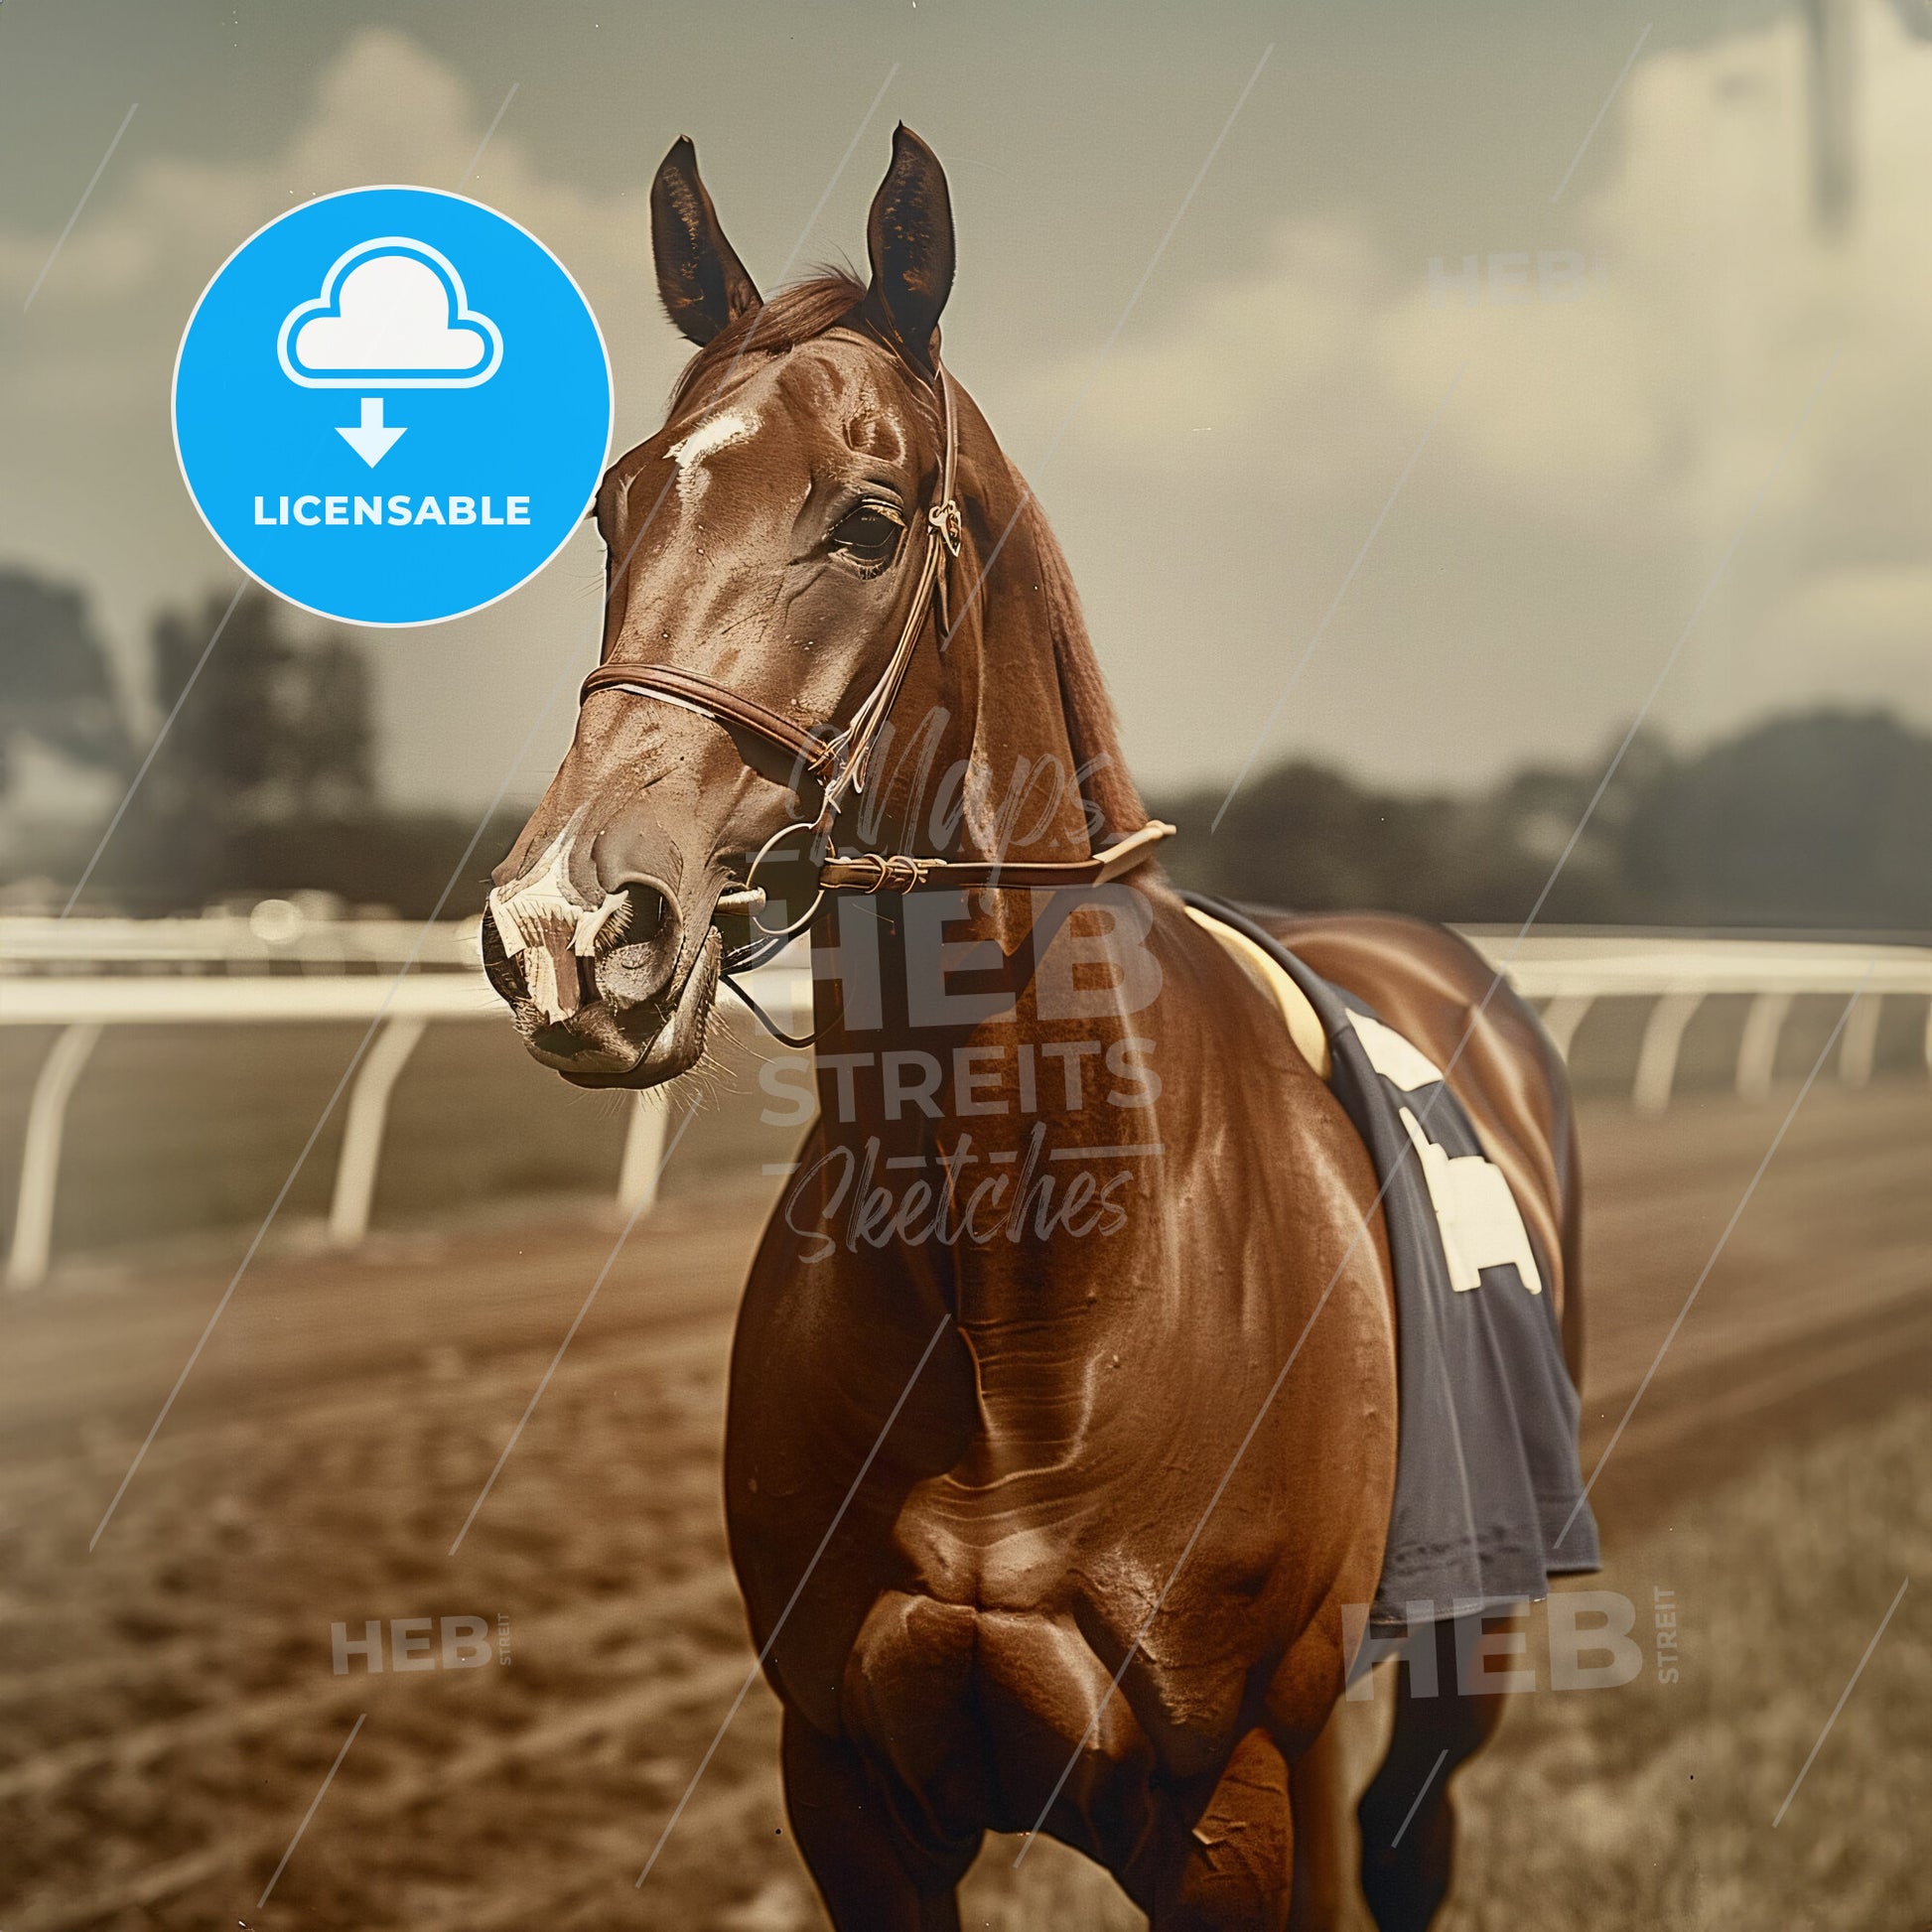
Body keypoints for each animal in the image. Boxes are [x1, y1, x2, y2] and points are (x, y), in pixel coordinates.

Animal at [484, 127, 1586, 1931]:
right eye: (614, 504)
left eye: (865, 524)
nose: (571, 925)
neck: (1016, 1271)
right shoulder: (845, 1785)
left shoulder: (1226, 1796)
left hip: (1460, 1643)